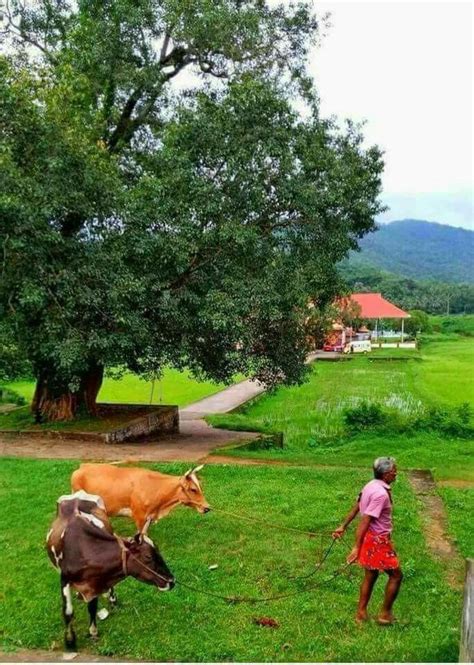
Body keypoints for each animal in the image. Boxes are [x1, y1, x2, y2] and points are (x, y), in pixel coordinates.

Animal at [46, 488, 174, 648]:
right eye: (148, 557)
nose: (171, 581)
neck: (84, 549)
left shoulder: (96, 581)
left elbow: (92, 608)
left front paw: (93, 632)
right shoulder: (65, 579)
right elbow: (68, 612)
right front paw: (70, 641)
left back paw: (112, 598)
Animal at [71, 464, 210, 532]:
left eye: (200, 486)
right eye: (193, 489)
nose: (208, 508)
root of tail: (82, 466)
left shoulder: (149, 517)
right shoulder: (139, 516)